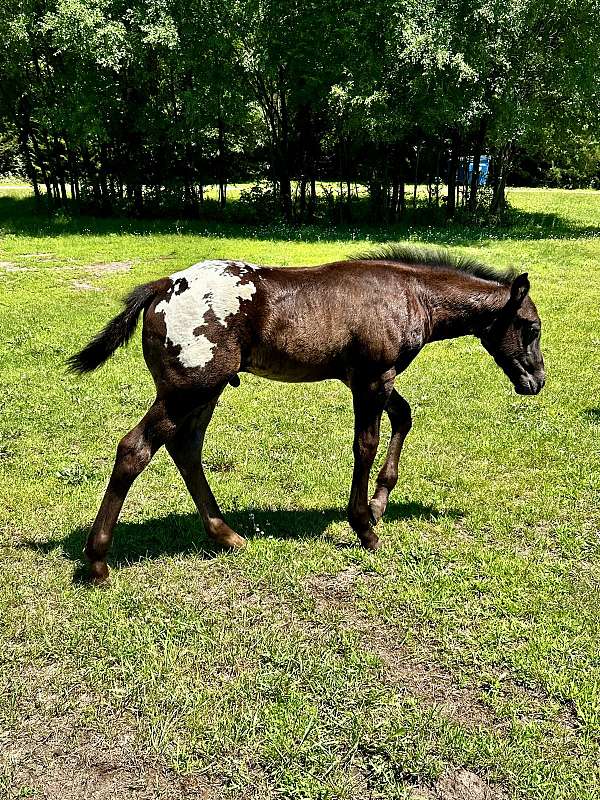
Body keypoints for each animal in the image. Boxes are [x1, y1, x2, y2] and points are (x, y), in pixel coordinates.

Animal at [69, 245, 545, 584]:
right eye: (532, 328)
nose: (536, 381)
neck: (412, 294)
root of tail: (163, 285)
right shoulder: (373, 379)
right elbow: (365, 445)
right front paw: (365, 527)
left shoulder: (369, 379)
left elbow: (405, 417)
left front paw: (378, 504)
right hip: (189, 389)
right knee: (135, 449)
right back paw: (97, 562)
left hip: (205, 391)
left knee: (185, 448)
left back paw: (226, 535)